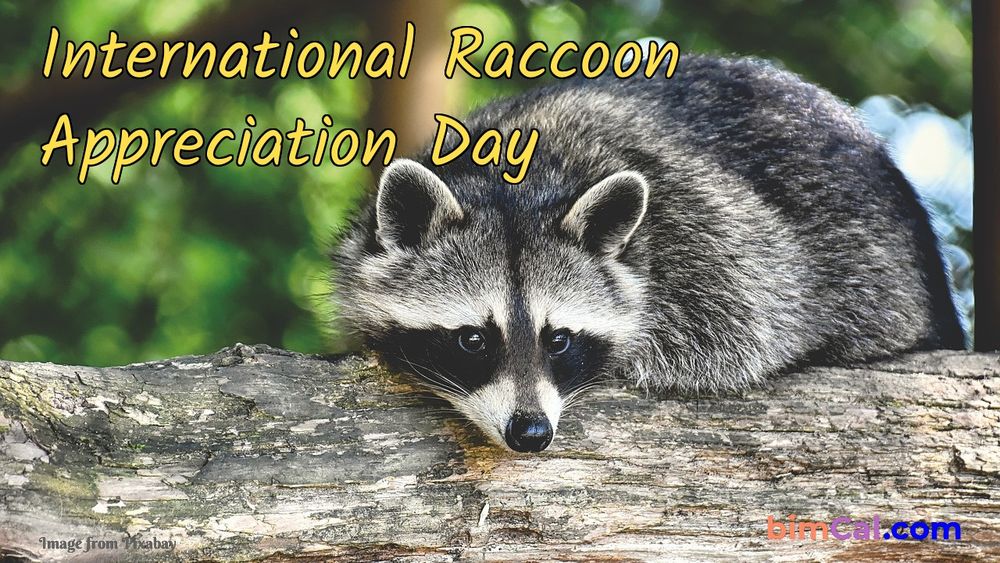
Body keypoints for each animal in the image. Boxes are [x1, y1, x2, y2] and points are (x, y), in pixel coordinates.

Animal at [331, 55, 964, 452]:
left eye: (558, 339)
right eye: (472, 339)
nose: (531, 434)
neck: (514, 177)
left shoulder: (713, 237)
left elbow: (745, 330)